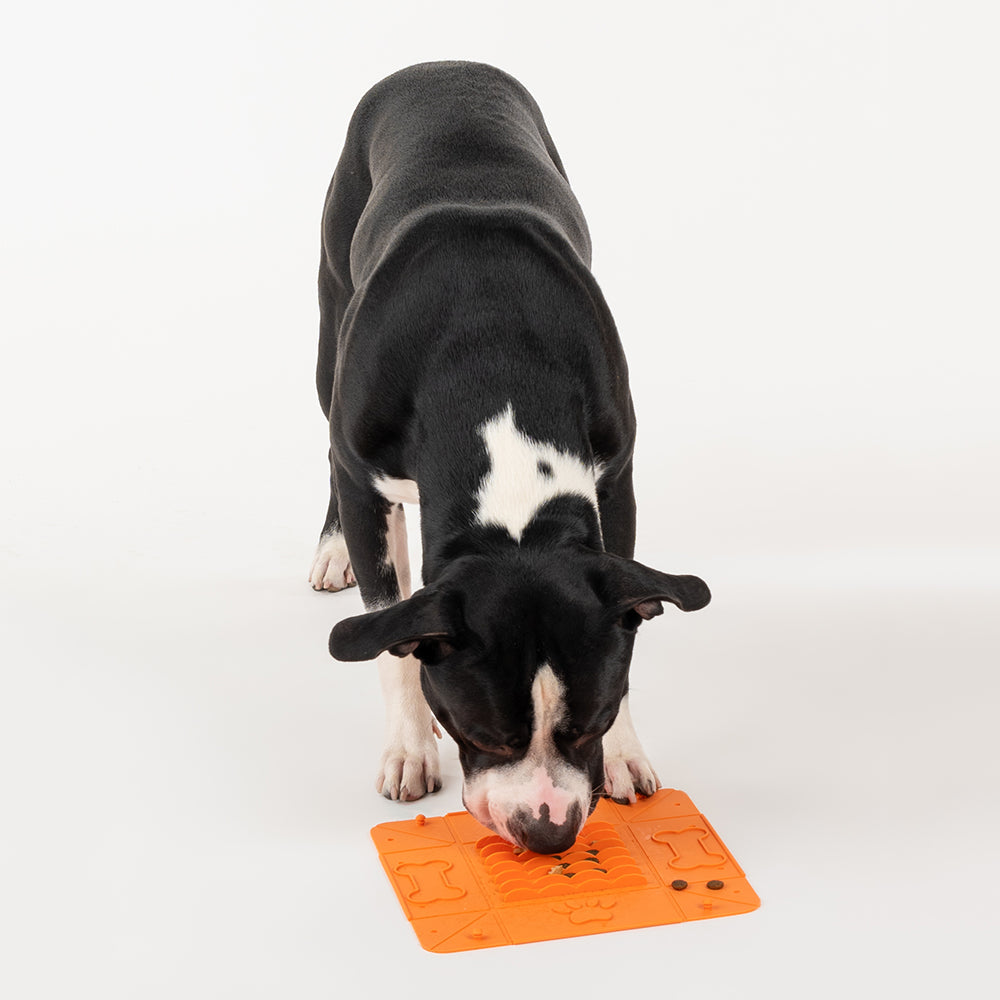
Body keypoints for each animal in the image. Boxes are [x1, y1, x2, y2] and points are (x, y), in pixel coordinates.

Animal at [308, 62, 708, 856]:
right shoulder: (365, 472)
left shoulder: (616, 477)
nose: (548, 832)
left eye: (592, 721)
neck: (492, 355)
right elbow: (389, 630)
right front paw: (409, 748)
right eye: (481, 732)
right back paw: (333, 550)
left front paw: (624, 754)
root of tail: (439, 66)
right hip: (330, 320)